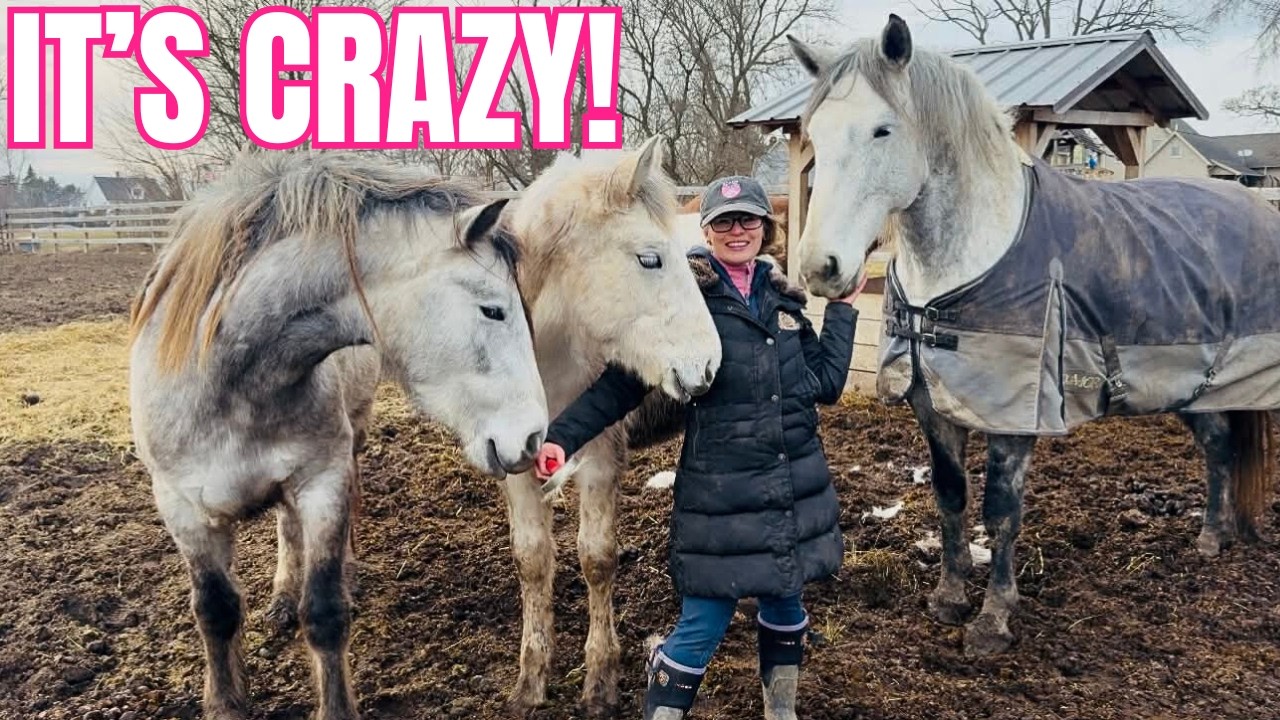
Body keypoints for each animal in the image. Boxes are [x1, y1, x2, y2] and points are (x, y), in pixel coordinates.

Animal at [127, 151, 548, 720]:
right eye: (493, 309)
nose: (532, 437)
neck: (226, 378)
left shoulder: (322, 482)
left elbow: (325, 613)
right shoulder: (182, 508)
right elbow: (215, 610)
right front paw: (225, 702)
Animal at [497, 136, 723, 716]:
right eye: (650, 258)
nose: (709, 363)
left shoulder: (600, 457)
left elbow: (596, 558)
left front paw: (600, 680)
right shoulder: (515, 464)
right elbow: (531, 560)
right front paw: (531, 681)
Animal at [787, 15, 1280, 658]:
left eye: (882, 129)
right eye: (815, 135)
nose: (820, 268)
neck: (966, 260)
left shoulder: (1016, 417)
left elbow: (1001, 512)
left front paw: (993, 621)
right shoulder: (932, 405)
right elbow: (951, 497)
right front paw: (949, 598)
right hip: (1192, 383)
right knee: (1220, 446)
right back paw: (1212, 538)